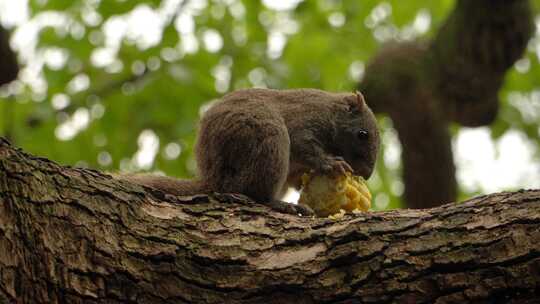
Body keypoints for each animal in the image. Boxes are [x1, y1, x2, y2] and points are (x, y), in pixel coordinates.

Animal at [121, 88, 380, 216]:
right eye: (363, 134)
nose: (365, 174)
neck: (329, 111)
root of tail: (212, 180)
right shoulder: (303, 121)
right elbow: (305, 147)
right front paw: (331, 163)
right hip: (269, 141)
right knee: (256, 194)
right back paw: (283, 205)